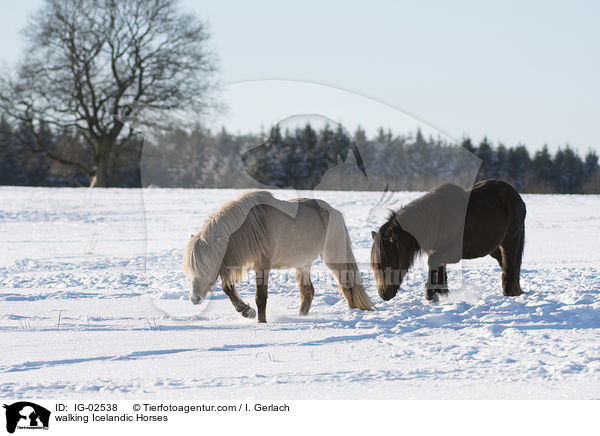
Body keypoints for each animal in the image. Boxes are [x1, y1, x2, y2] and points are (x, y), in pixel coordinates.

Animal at [180, 190, 372, 320]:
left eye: (207, 267)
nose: (194, 298)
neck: (250, 227)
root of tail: (334, 212)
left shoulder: (262, 266)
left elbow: (260, 298)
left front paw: (261, 322)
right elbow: (228, 289)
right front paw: (248, 312)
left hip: (334, 257)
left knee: (346, 285)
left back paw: (353, 313)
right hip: (302, 265)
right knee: (308, 292)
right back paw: (301, 316)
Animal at [370, 179, 524, 302]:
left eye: (391, 261)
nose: (383, 295)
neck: (437, 220)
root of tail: (516, 196)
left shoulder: (451, 253)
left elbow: (433, 263)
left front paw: (430, 295)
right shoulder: (437, 251)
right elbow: (440, 270)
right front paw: (441, 293)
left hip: (510, 242)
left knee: (510, 266)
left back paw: (508, 293)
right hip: (495, 248)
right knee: (505, 264)